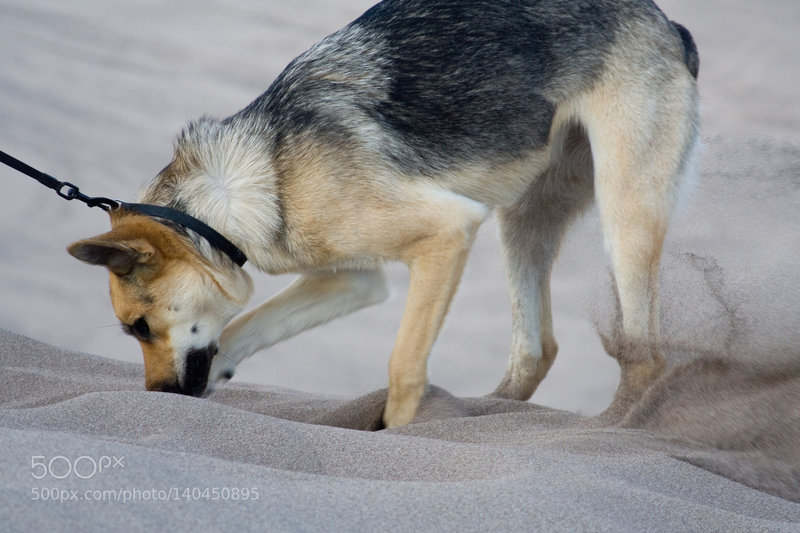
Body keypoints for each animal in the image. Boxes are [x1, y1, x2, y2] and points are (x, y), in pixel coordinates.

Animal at [70, 0, 700, 424]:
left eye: (139, 328)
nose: (160, 403)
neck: (255, 176)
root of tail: (665, 23)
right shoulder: (355, 281)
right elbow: (245, 328)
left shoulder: (446, 234)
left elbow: (403, 366)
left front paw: (397, 432)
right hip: (524, 221)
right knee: (536, 349)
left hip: (625, 215)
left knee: (645, 356)